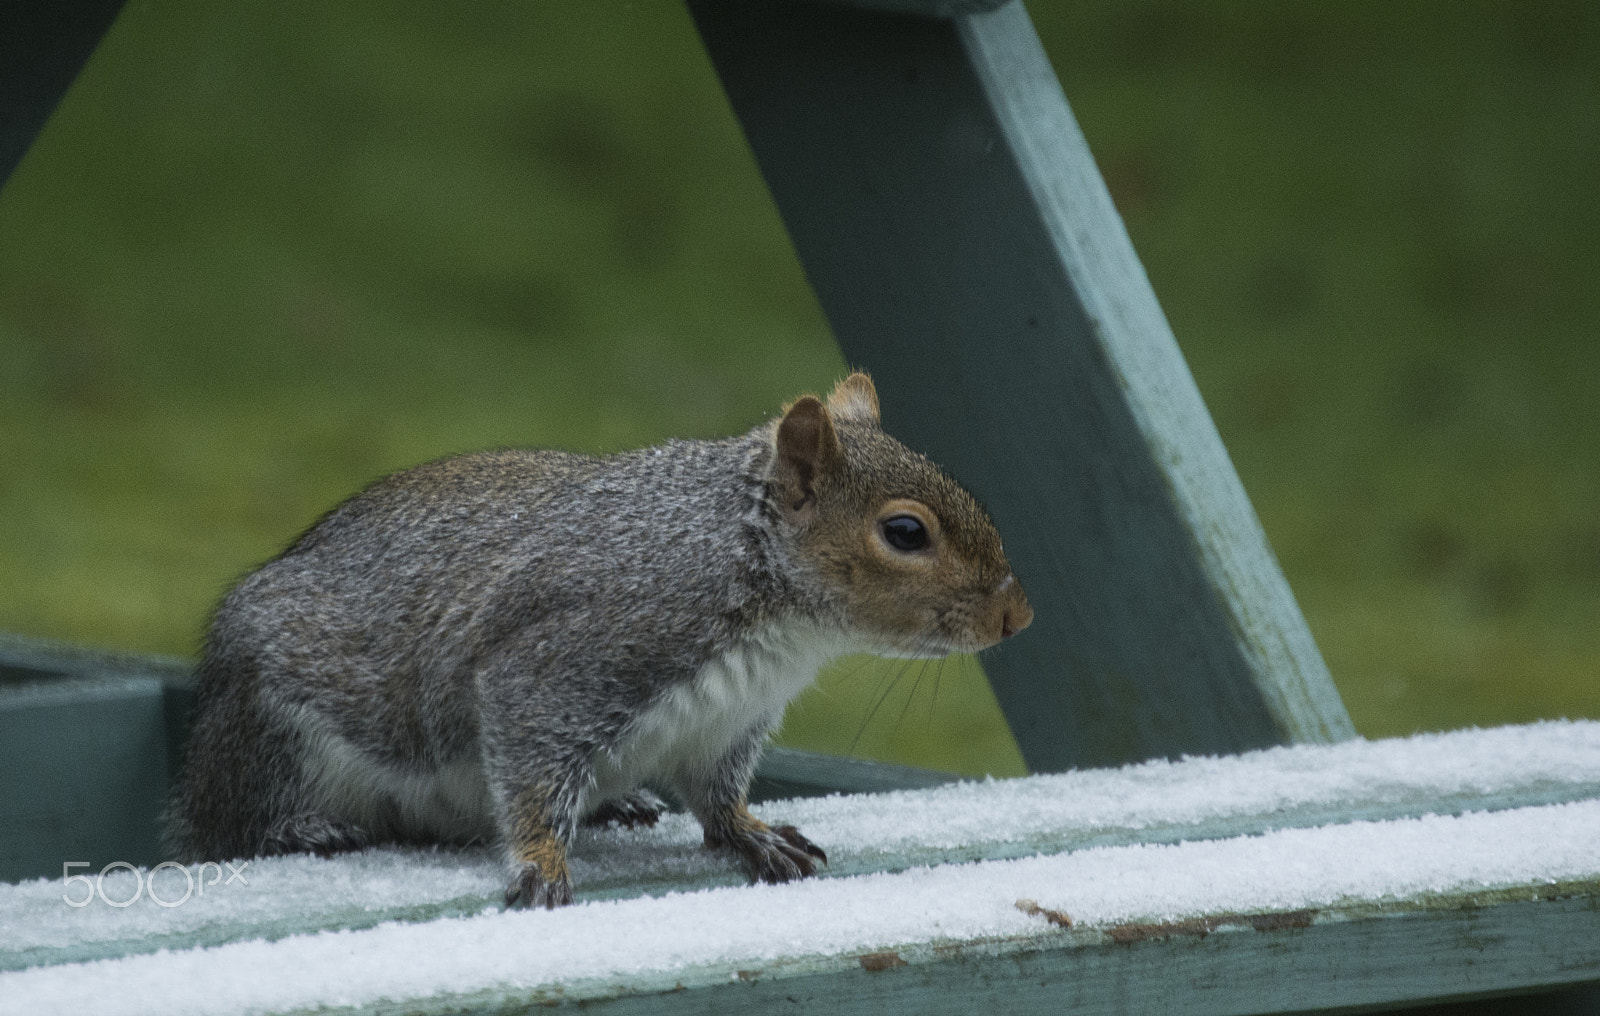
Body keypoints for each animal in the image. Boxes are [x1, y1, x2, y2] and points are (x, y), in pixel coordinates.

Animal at [164, 373, 1032, 908]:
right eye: (905, 532)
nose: (1017, 617)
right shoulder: (566, 659)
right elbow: (531, 770)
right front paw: (542, 863)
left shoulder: (728, 724)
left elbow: (719, 794)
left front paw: (750, 833)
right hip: (273, 729)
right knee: (230, 820)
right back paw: (300, 827)